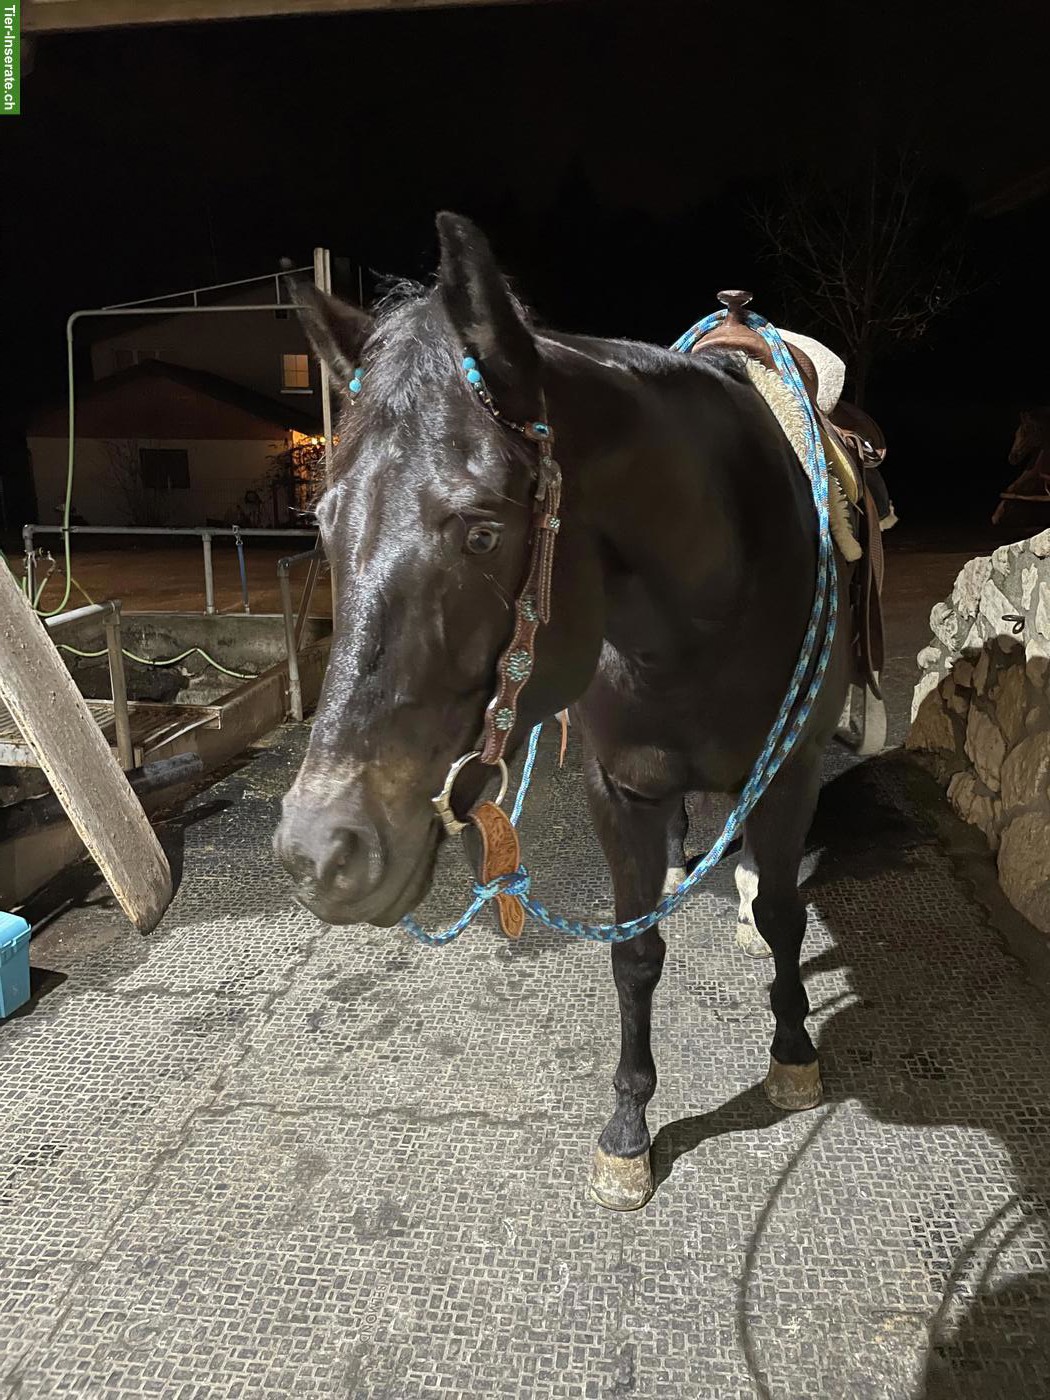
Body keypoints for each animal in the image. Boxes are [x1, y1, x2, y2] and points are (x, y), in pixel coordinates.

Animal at [274, 213, 853, 1211]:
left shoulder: (791, 770)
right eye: (324, 523)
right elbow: (634, 954)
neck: (712, 601)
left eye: (481, 530)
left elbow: (785, 916)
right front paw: (629, 1127)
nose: (320, 850)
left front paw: (792, 1053)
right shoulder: (619, 787)